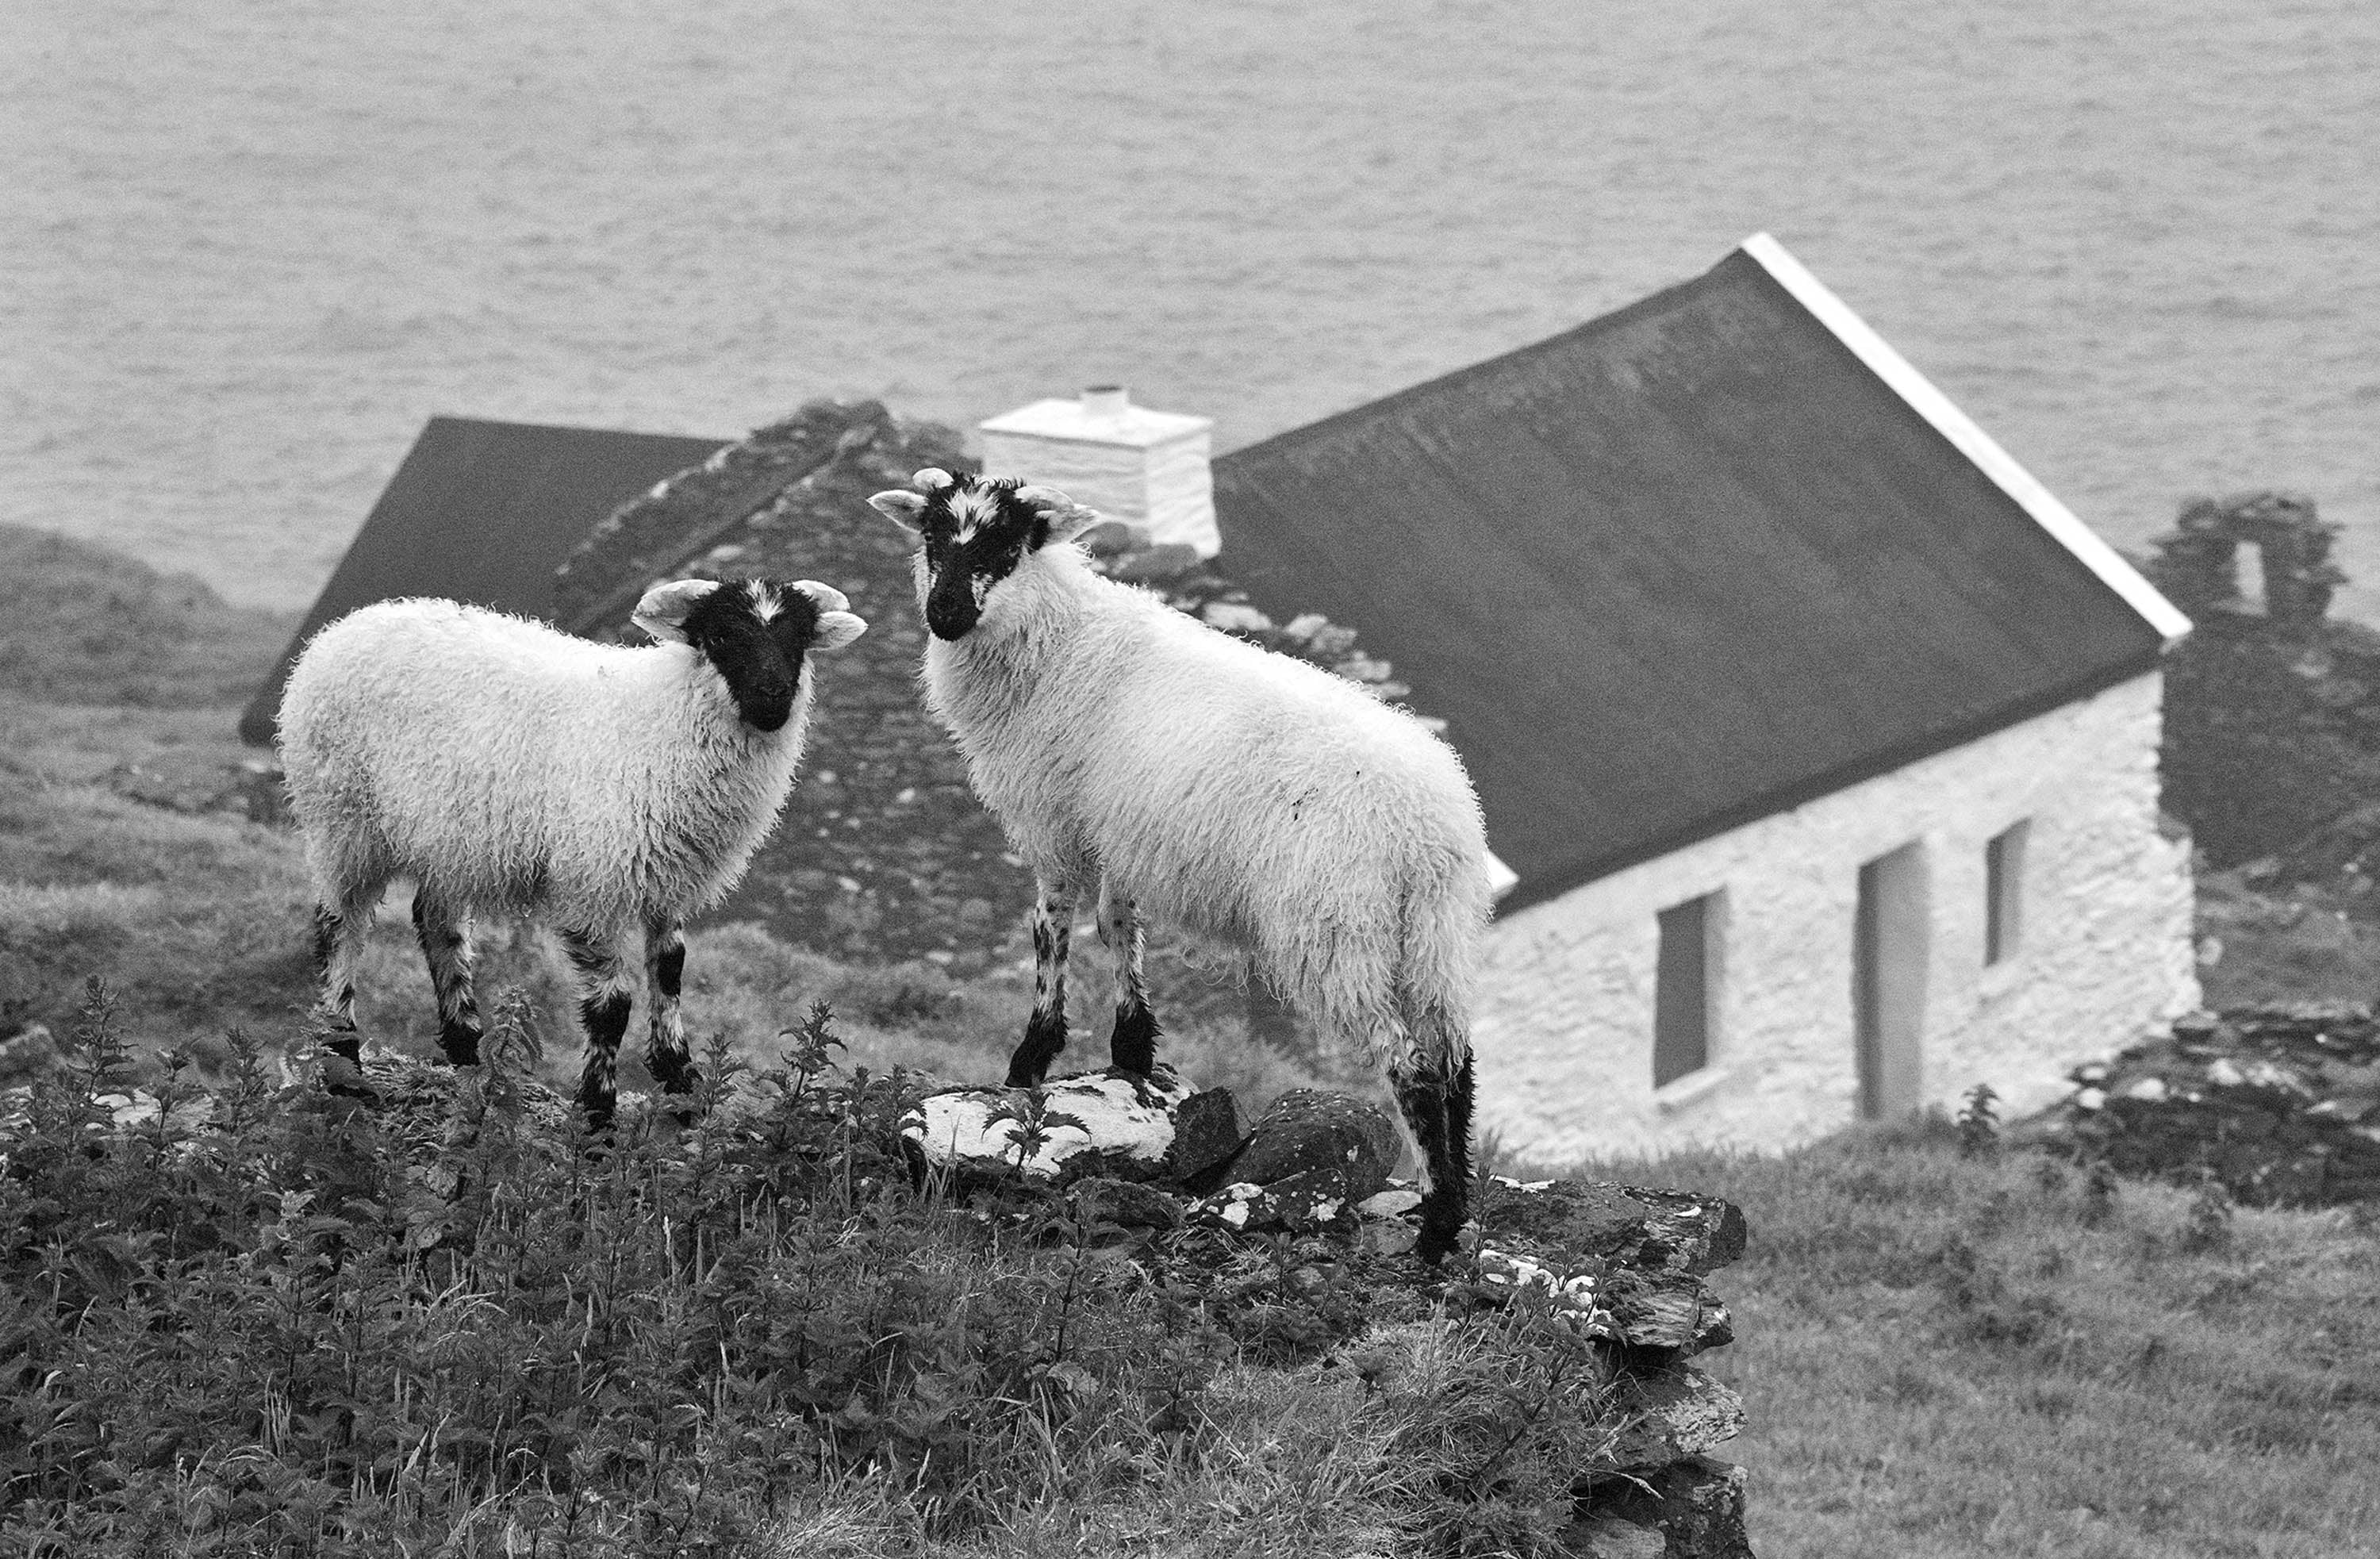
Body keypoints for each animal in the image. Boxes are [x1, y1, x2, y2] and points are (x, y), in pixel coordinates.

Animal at [276, 578, 867, 1122]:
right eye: (721, 635)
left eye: (799, 639)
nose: (774, 696)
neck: (664, 720)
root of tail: (347, 626)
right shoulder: (594, 883)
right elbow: (612, 1007)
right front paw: (598, 1113)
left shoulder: (667, 877)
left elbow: (670, 971)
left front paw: (682, 1083)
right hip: (344, 820)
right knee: (340, 928)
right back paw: (345, 1066)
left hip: (450, 838)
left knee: (436, 921)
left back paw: (467, 1052)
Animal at [868, 470, 1491, 1261]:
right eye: (931, 537)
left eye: (1006, 546)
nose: (943, 612)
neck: (1057, 639)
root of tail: (1429, 824)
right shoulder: (1119, 829)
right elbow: (1118, 926)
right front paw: (1133, 1048)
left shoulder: (1055, 824)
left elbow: (1051, 932)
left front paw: (1030, 1058)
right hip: (1436, 932)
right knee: (1454, 1060)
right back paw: (1454, 1204)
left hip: (1333, 929)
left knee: (1410, 1066)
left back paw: (1436, 1229)